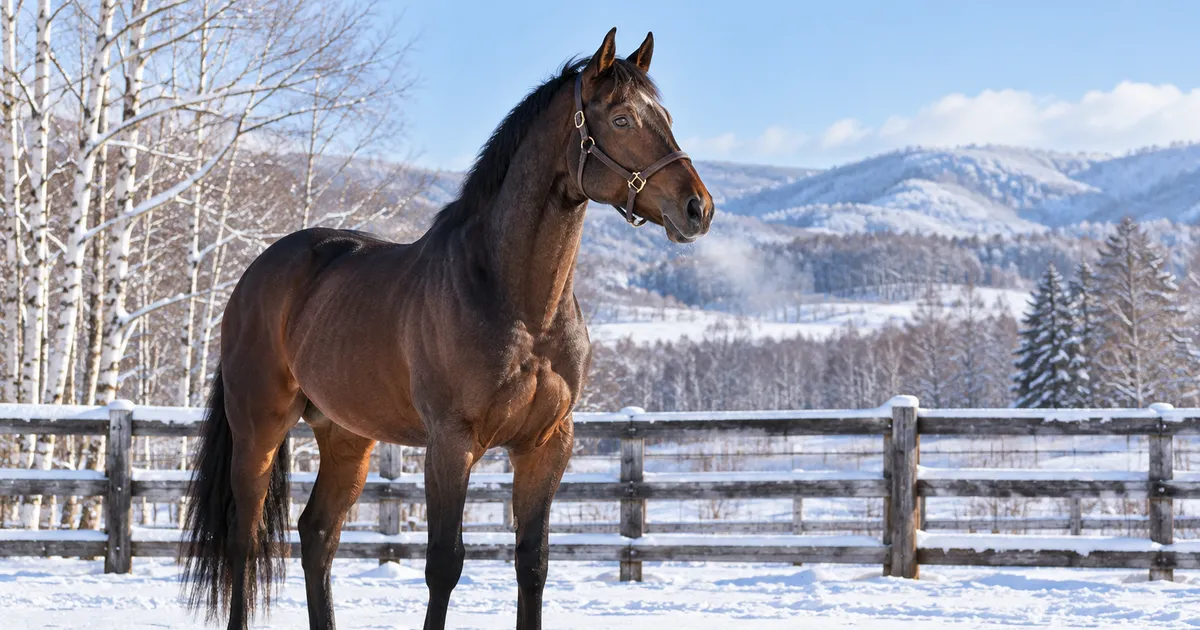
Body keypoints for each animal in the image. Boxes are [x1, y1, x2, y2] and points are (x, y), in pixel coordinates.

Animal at [181, 27, 713, 630]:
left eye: (664, 115)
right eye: (621, 118)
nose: (697, 208)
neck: (520, 305)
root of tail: (256, 274)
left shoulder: (546, 444)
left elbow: (532, 564)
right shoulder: (450, 444)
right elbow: (444, 565)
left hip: (347, 435)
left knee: (317, 534)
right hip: (259, 430)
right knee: (243, 539)